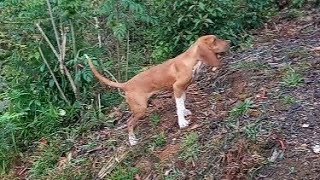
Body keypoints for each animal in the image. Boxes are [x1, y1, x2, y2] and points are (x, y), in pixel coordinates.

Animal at [86, 34, 229, 145]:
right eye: (215, 40)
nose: (230, 42)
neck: (191, 60)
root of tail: (126, 84)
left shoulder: (183, 88)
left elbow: (182, 103)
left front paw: (185, 112)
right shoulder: (177, 87)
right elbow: (178, 106)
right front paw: (182, 122)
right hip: (140, 108)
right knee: (129, 122)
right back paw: (132, 140)